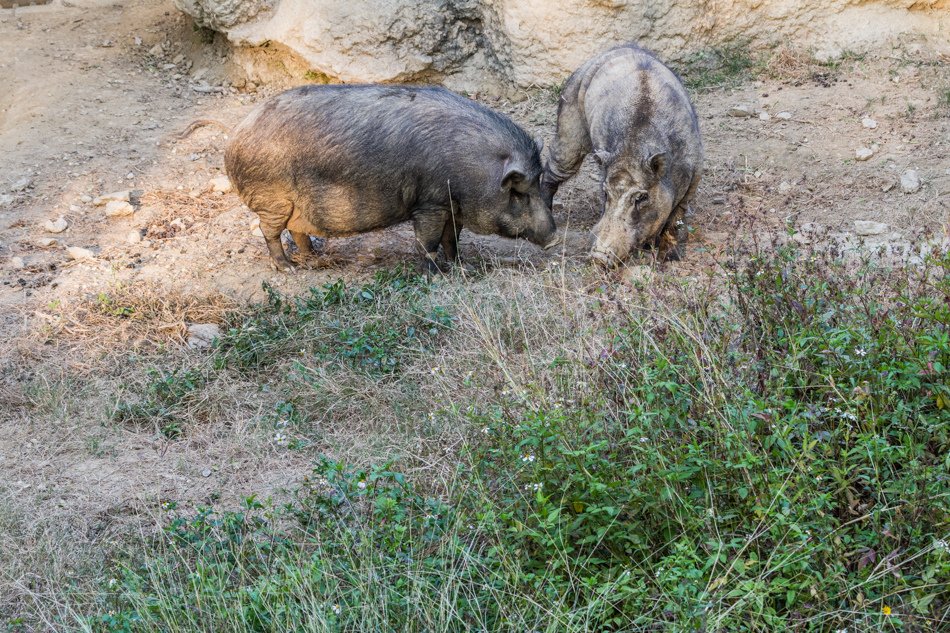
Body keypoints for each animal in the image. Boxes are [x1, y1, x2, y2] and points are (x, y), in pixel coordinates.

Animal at [226, 84, 560, 272]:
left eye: (537, 184)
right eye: (518, 192)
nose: (555, 239)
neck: (475, 168)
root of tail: (236, 136)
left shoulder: (451, 205)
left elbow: (452, 239)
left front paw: (463, 267)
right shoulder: (429, 203)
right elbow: (428, 241)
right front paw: (434, 274)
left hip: (294, 205)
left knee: (297, 230)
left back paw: (314, 259)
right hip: (272, 199)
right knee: (269, 231)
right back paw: (287, 269)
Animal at [540, 45, 704, 266]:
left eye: (642, 197)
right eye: (605, 193)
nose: (599, 257)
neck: (632, 153)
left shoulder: (695, 174)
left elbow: (676, 218)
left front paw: (670, 257)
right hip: (569, 123)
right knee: (554, 168)